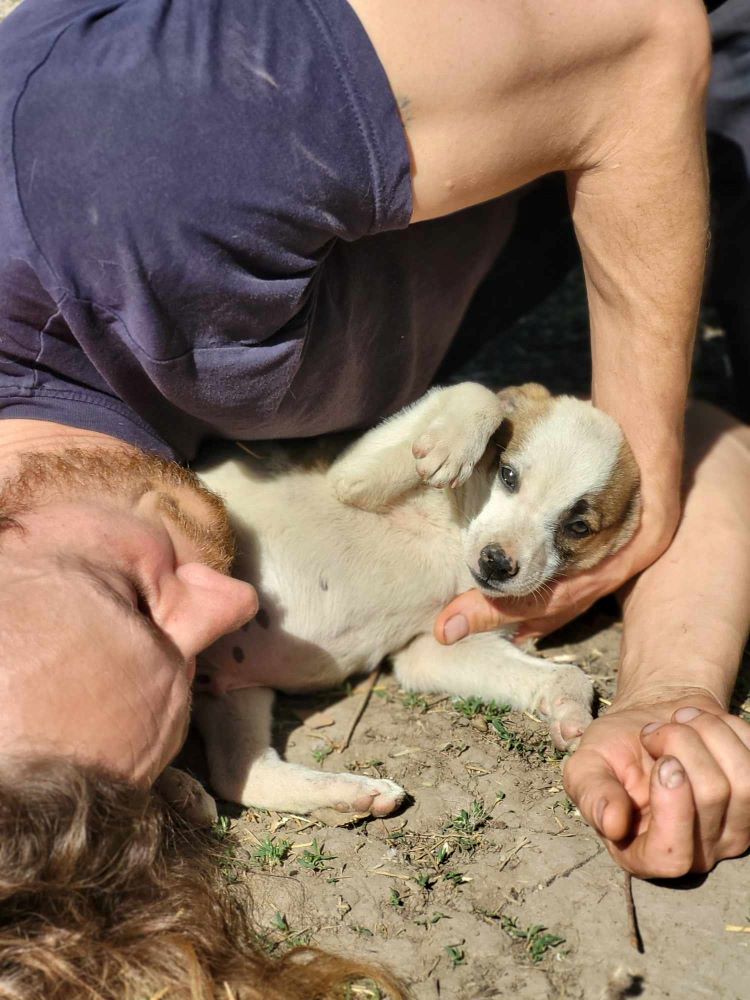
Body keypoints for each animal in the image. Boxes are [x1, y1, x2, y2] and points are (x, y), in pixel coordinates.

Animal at [192, 384, 640, 820]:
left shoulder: (429, 650)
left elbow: (570, 674)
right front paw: (450, 448)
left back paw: (351, 796)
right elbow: (480, 393)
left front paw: (571, 713)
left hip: (237, 692)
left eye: (578, 527)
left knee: (241, 774)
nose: (495, 563)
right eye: (508, 475)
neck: (453, 535)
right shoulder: (352, 478)